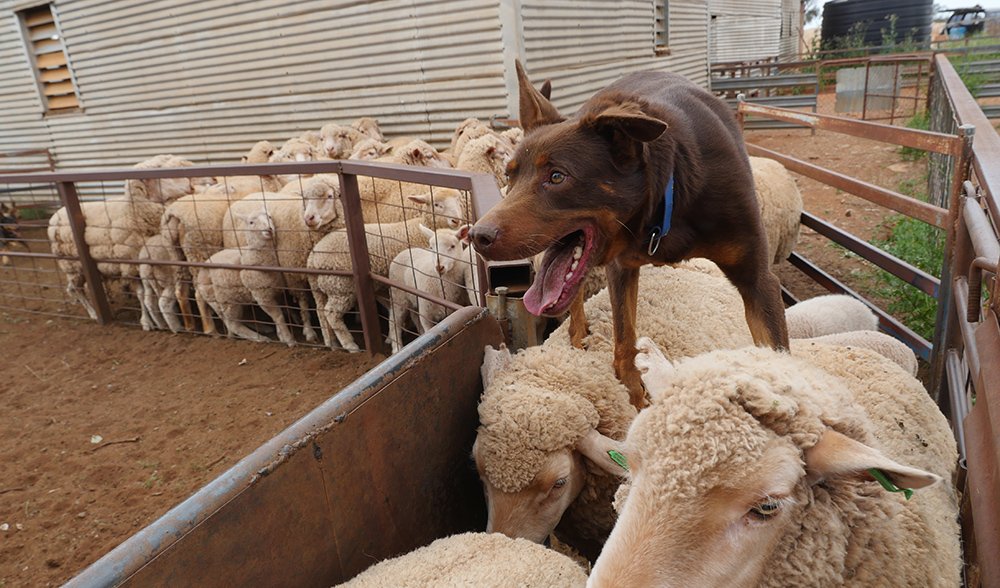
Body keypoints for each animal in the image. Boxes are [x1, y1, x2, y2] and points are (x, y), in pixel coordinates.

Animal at [48, 154, 197, 320]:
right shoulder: (131, 265)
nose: (192, 185)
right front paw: (147, 319)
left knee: (76, 288)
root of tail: (54, 217)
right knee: (75, 289)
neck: (132, 214)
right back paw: (93, 313)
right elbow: (142, 294)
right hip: (73, 266)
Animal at [468, 62, 788, 406]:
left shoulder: (758, 281)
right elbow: (624, 346)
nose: (477, 236)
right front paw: (635, 396)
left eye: (557, 177)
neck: (671, 191)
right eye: (509, 175)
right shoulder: (621, 268)